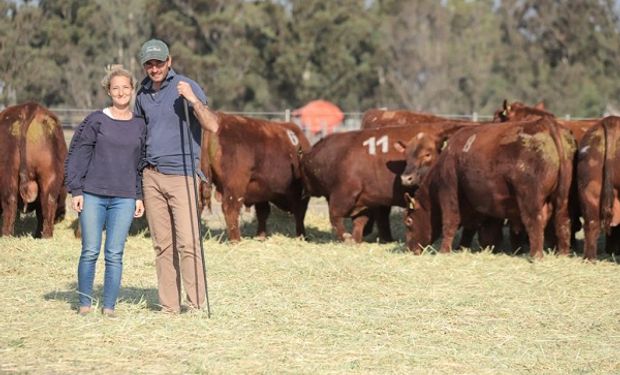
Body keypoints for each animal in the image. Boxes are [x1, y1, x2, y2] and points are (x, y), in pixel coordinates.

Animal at [0, 103, 67, 238]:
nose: (62, 215)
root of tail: (30, 107)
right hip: (49, 176)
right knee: (48, 202)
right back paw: (45, 236)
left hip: (9, 172)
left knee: (11, 202)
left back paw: (7, 235)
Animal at [201, 112, 310, 241]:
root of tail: (219, 119)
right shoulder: (301, 194)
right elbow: (300, 214)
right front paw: (301, 236)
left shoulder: (262, 192)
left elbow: (263, 213)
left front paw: (260, 237)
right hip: (235, 187)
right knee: (230, 208)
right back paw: (236, 240)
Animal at [402, 117, 576, 258]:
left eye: (409, 221)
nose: (410, 249)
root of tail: (544, 123)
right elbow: (482, 232)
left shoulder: (448, 190)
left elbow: (451, 222)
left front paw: (445, 251)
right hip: (562, 198)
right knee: (563, 221)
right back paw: (562, 254)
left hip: (530, 197)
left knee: (534, 220)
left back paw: (536, 255)